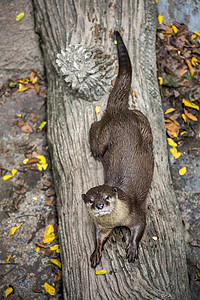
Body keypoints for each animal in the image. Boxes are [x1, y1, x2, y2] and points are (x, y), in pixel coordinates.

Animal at [82, 31, 154, 268]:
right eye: (91, 200)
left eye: (106, 197)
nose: (100, 206)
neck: (118, 218)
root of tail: (119, 112)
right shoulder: (103, 227)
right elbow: (100, 236)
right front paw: (96, 252)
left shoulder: (137, 213)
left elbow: (140, 228)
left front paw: (131, 248)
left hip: (120, 129)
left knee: (94, 126)